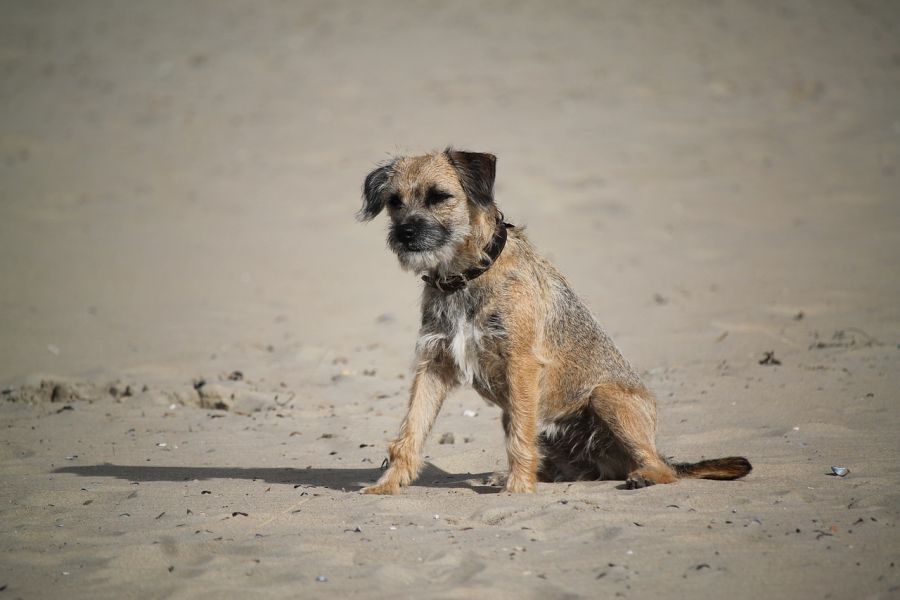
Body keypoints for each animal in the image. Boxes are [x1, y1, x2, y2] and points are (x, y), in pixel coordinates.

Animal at [356, 149, 748, 492]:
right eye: (394, 201)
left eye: (439, 196)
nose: (405, 233)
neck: (467, 275)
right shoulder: (434, 364)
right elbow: (411, 431)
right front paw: (387, 486)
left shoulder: (521, 364)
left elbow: (520, 439)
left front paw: (518, 491)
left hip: (606, 397)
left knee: (665, 470)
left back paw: (644, 476)